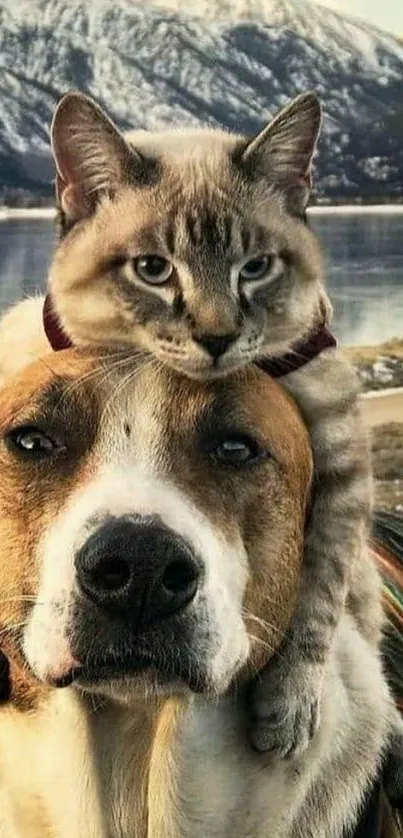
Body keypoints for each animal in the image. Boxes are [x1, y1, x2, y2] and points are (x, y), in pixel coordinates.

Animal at [3, 90, 403, 768]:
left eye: (257, 268)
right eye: (153, 269)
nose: (217, 337)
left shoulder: (342, 464)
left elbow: (321, 592)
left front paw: (291, 701)